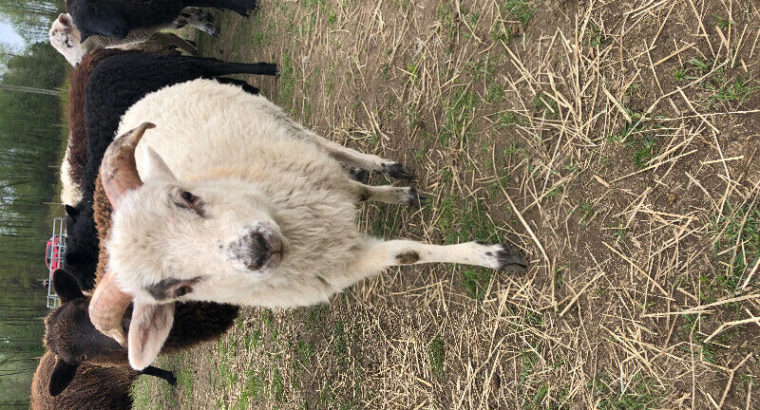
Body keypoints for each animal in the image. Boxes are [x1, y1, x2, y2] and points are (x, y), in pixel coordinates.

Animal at [89, 78, 528, 370]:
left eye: (185, 196)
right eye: (175, 290)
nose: (257, 250)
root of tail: (132, 109)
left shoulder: (324, 182)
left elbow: (360, 194)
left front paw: (488, 255)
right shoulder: (344, 266)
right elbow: (407, 254)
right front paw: (488, 256)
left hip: (269, 114)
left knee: (324, 144)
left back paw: (381, 166)